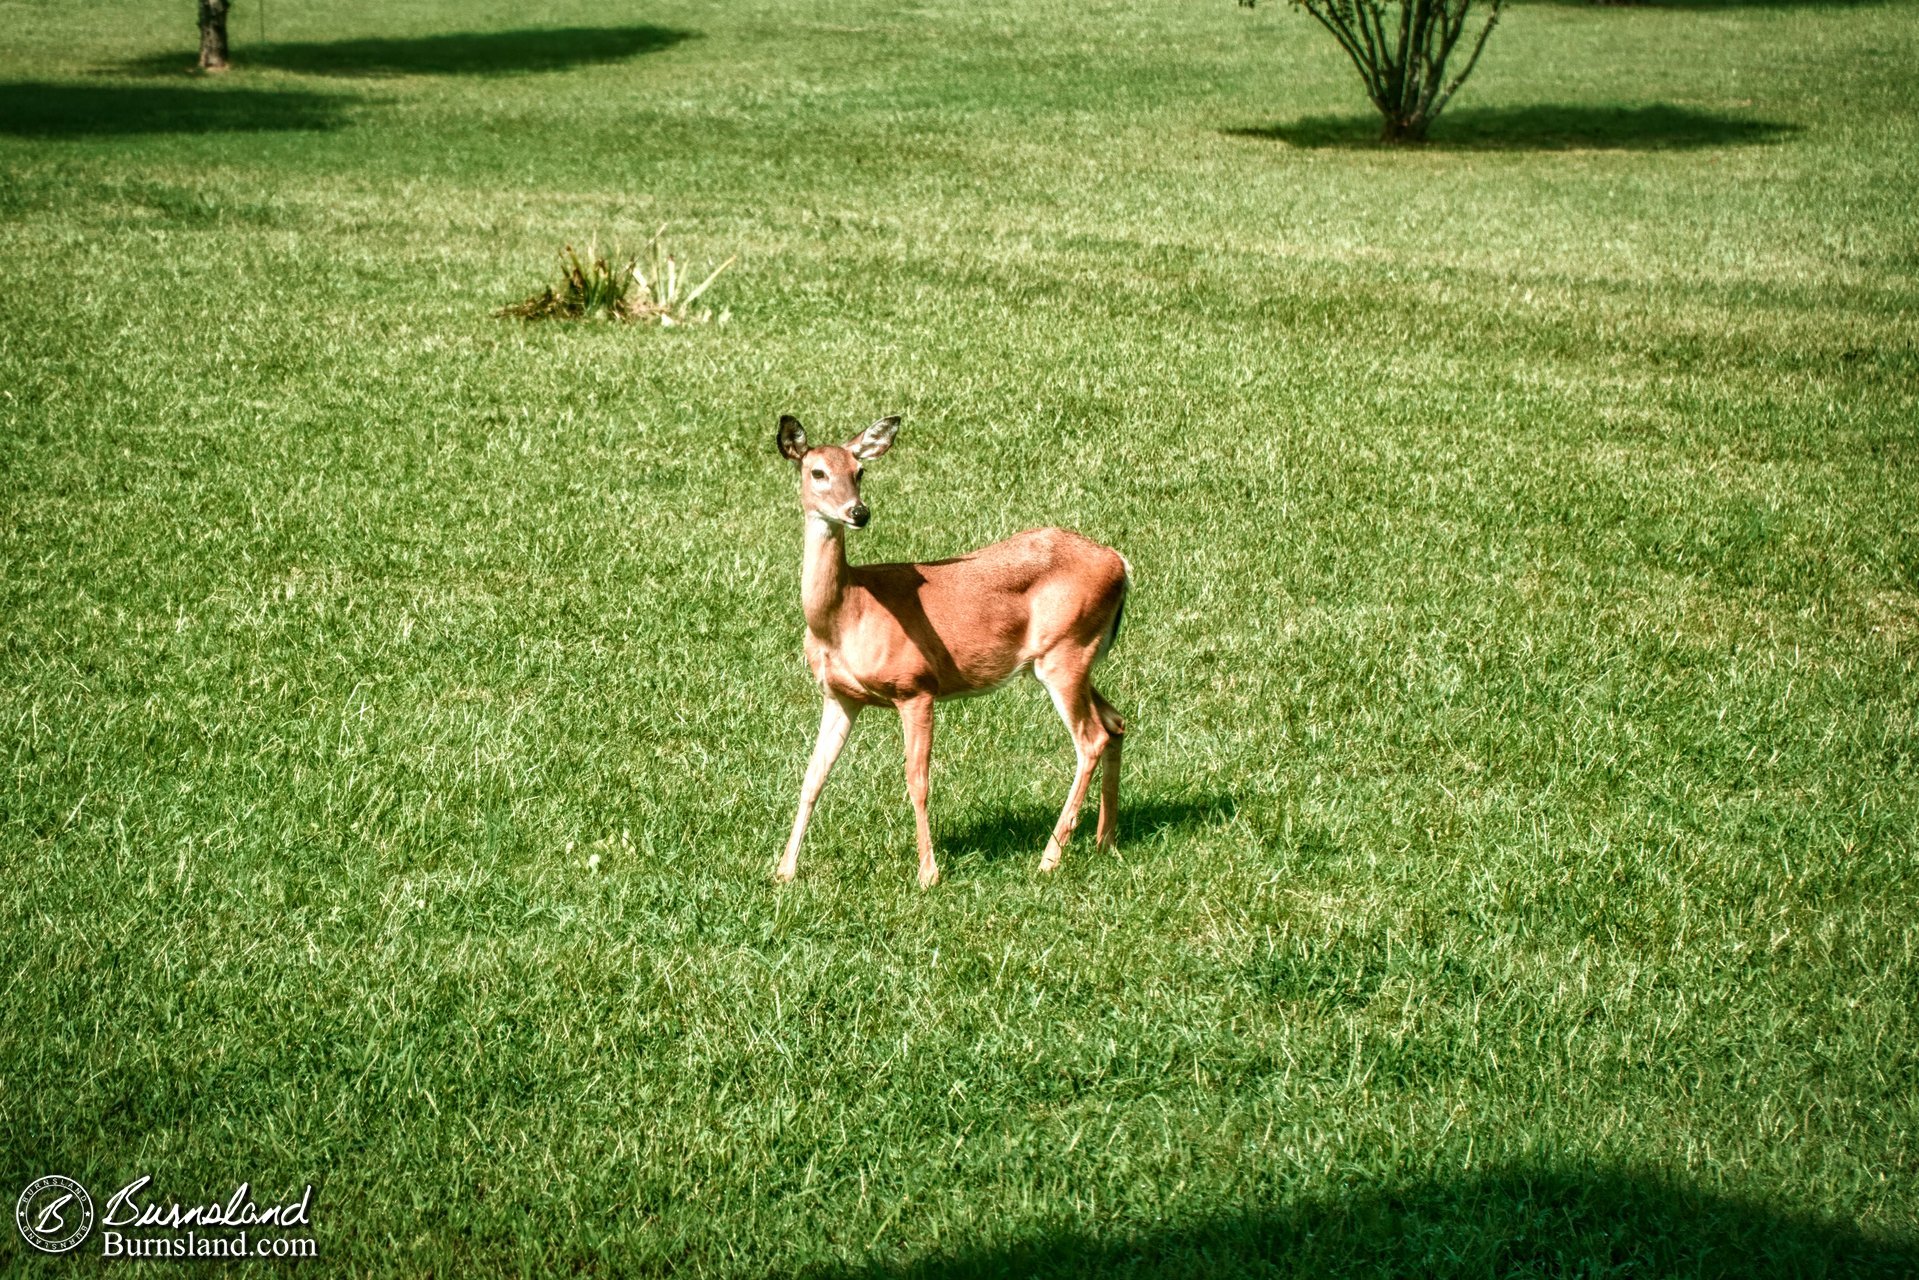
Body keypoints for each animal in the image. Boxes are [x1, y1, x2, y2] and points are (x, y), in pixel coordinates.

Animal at [775, 416, 1128, 886]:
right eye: (817, 472)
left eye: (859, 471)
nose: (858, 512)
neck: (847, 613)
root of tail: (1121, 564)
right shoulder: (841, 696)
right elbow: (813, 776)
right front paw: (783, 870)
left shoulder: (916, 686)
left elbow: (917, 780)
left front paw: (928, 873)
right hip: (1071, 656)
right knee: (1116, 722)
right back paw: (1105, 840)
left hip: (1066, 651)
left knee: (1091, 738)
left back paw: (1049, 858)